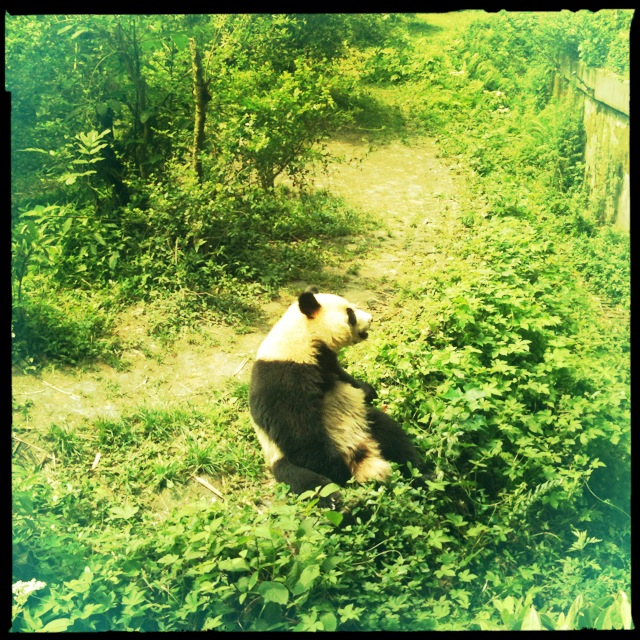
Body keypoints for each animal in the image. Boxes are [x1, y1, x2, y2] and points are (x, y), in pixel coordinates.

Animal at [249, 287, 429, 508]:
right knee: (310, 483)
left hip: (364, 420)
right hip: (282, 459)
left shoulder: (326, 362)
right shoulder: (282, 376)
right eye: (350, 314)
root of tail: (360, 452)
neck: (303, 338)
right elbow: (297, 431)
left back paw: (422, 475)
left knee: (395, 438)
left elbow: (345, 378)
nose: (371, 319)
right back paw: (342, 499)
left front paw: (369, 390)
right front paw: (338, 471)